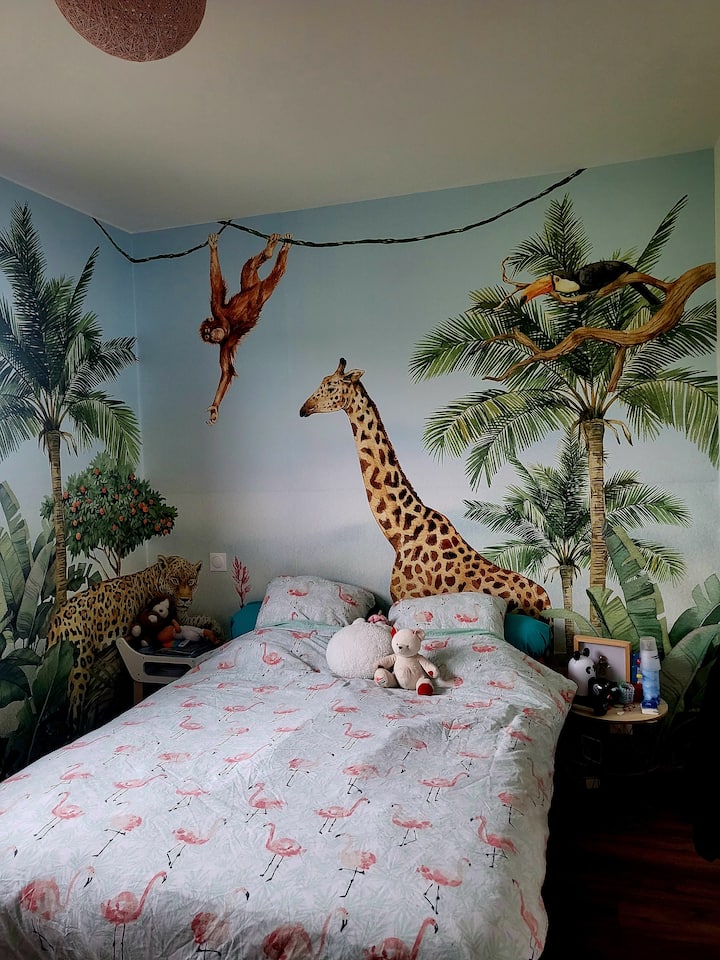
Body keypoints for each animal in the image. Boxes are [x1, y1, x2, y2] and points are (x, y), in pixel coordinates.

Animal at [299, 358, 550, 616]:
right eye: (322, 381)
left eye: (331, 385)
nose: (304, 408)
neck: (401, 533)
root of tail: (546, 599)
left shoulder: (409, 596)